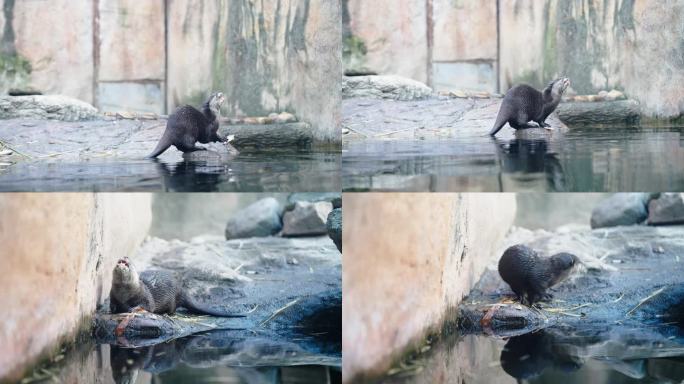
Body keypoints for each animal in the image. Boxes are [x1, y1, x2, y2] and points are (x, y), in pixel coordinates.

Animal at [111, 256, 250, 316]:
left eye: (129, 262)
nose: (125, 256)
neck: (124, 294)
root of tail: (181, 290)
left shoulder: (145, 294)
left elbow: (148, 305)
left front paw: (133, 308)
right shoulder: (113, 295)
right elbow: (113, 304)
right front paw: (114, 310)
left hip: (172, 299)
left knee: (173, 309)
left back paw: (166, 313)